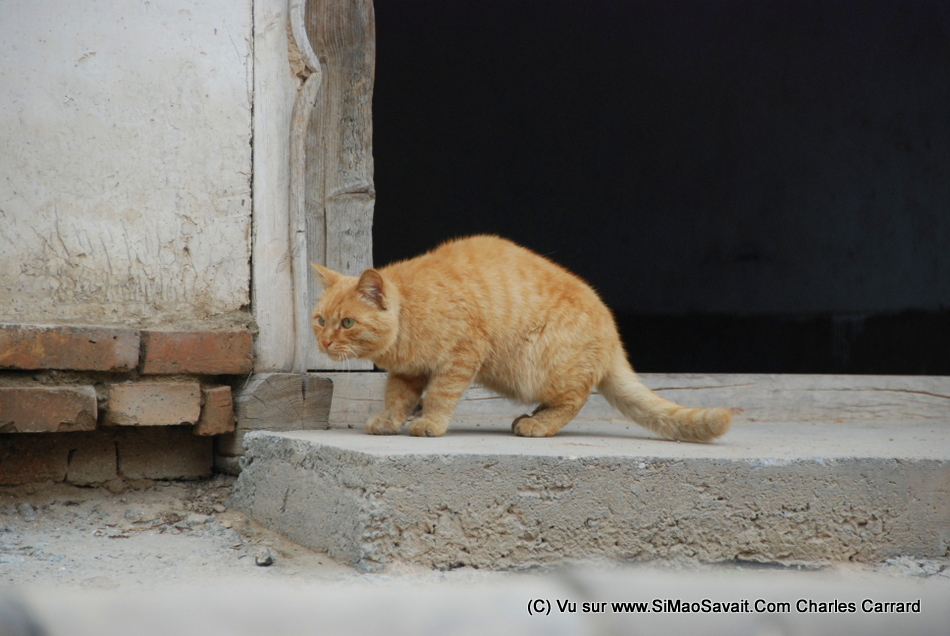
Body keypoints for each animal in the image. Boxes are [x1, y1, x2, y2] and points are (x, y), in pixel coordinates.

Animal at [316, 236, 732, 440]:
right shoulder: (408, 372)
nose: (323, 343)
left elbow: (439, 396)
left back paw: (539, 424)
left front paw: (430, 423)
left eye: (348, 323)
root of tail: (613, 334)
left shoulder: (461, 356)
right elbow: (397, 399)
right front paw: (389, 421)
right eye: (320, 321)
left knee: (575, 399)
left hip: (537, 366)